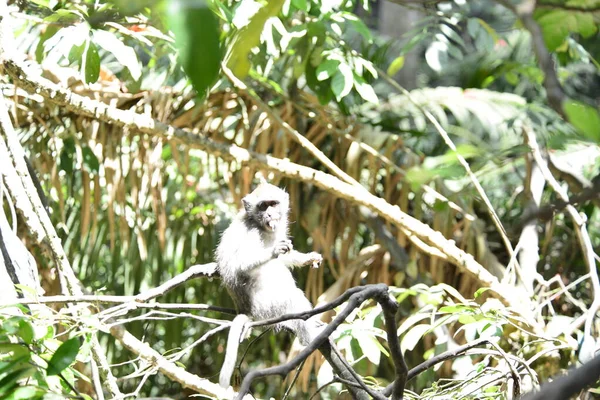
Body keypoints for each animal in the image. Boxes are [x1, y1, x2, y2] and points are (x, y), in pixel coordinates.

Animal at [216, 180, 324, 388]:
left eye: (273, 204)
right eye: (262, 206)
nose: (269, 214)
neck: (260, 226)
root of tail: (246, 309)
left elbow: (286, 256)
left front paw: (308, 258)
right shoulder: (251, 233)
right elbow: (241, 265)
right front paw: (274, 251)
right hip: (267, 305)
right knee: (288, 291)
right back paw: (310, 339)